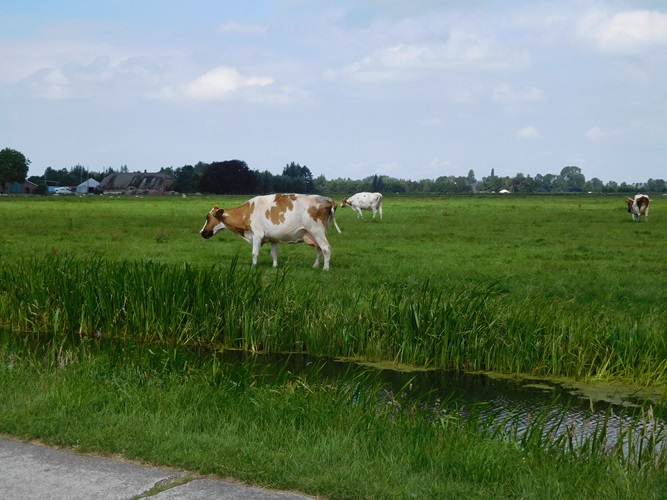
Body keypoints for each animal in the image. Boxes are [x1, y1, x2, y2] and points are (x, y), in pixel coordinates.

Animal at [201, 193, 342, 270]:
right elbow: (274, 253)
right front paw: (275, 266)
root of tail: (327, 199)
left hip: (316, 230)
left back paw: (325, 268)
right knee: (319, 249)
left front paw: (254, 267)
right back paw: (315, 266)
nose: (201, 232)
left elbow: (255, 253)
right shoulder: (274, 238)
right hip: (317, 233)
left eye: (208, 218)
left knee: (326, 248)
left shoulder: (257, 235)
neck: (247, 212)